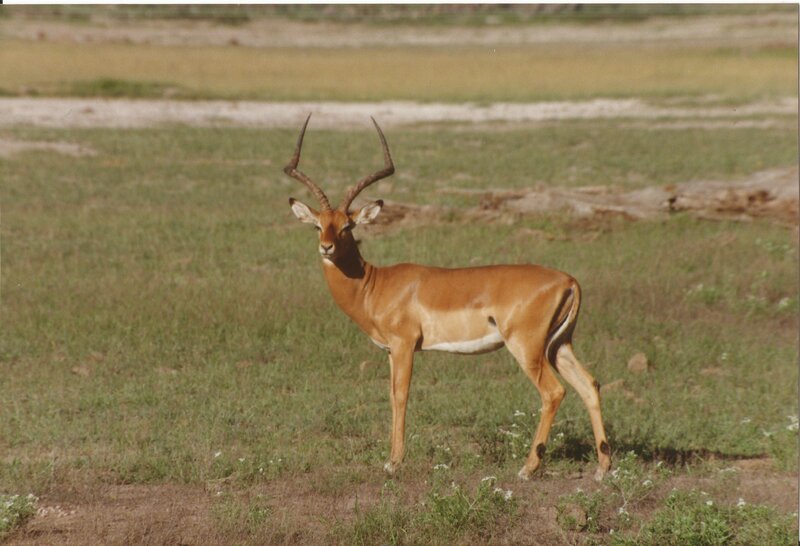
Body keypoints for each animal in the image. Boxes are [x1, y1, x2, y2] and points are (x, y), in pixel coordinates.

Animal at [284, 115, 611, 481]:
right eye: (319, 226)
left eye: (347, 226)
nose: (326, 248)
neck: (374, 285)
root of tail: (569, 280)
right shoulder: (390, 351)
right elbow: (391, 395)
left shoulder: (404, 346)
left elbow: (401, 396)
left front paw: (394, 462)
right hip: (559, 346)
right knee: (590, 384)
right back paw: (603, 468)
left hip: (527, 348)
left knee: (553, 392)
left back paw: (528, 468)